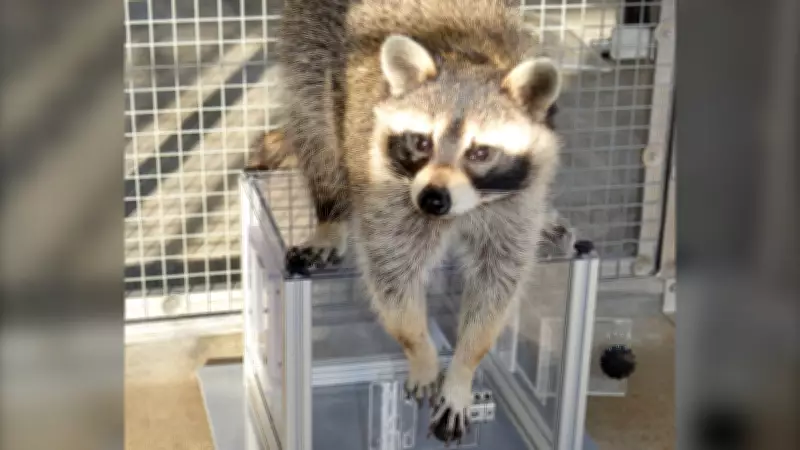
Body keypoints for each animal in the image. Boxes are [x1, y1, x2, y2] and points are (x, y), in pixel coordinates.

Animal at [279, 0, 563, 442]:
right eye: (421, 142)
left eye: (480, 152)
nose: (432, 198)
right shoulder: (387, 189)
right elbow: (393, 273)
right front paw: (422, 352)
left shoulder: (515, 206)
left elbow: (497, 282)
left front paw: (463, 368)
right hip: (311, 43)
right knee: (316, 127)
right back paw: (331, 213)